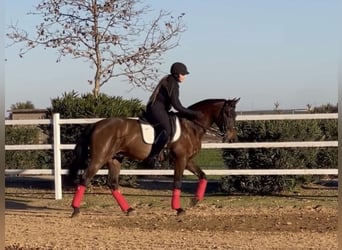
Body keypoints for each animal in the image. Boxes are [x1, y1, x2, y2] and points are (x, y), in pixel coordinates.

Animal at [68, 97, 239, 217]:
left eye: (235, 115)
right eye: (227, 114)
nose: (231, 137)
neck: (191, 126)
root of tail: (95, 125)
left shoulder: (188, 160)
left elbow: (203, 176)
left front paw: (194, 201)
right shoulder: (180, 160)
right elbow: (177, 182)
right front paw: (178, 209)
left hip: (114, 159)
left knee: (113, 184)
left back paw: (129, 210)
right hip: (99, 158)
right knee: (85, 179)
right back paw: (75, 210)